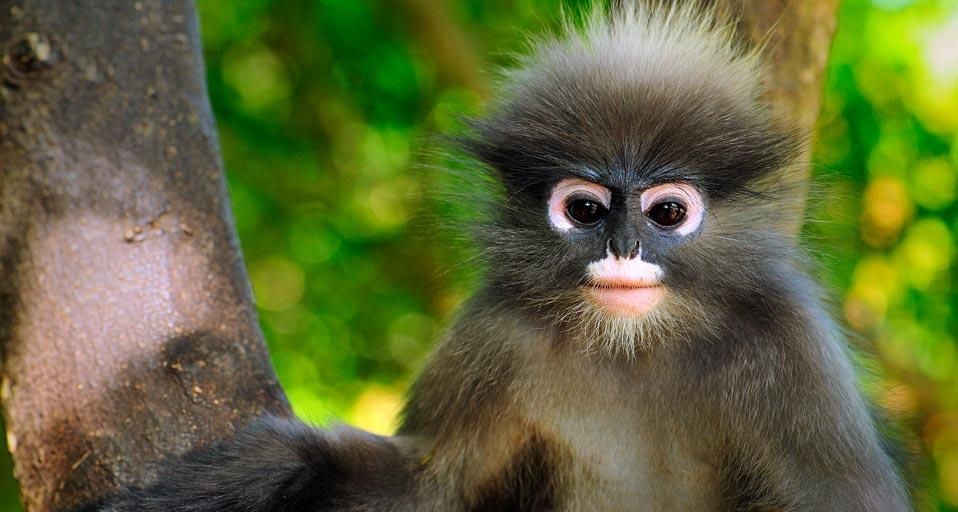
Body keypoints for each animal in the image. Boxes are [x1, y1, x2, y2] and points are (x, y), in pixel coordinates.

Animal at [99, 2, 911, 511]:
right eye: (584, 210)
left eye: (668, 213)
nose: (622, 248)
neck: (634, 348)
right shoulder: (491, 337)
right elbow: (427, 487)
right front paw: (272, 467)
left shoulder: (794, 350)